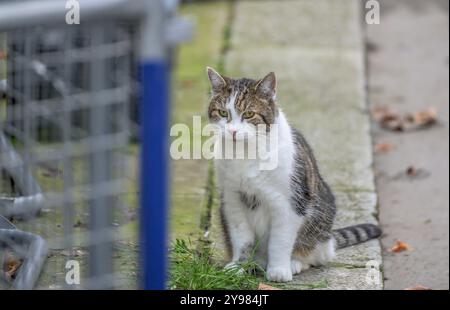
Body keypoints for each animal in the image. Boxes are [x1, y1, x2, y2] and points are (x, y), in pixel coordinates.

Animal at [207, 66, 380, 282]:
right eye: (223, 112)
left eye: (249, 114)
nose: (232, 131)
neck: (244, 153)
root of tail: (330, 238)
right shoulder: (232, 200)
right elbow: (241, 238)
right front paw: (239, 266)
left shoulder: (288, 203)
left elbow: (280, 241)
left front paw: (279, 271)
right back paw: (255, 263)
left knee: (314, 253)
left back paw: (293, 263)